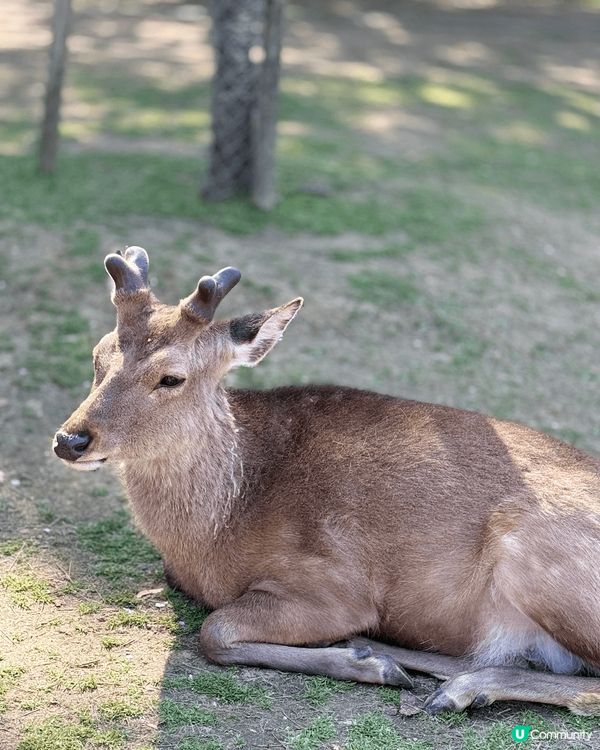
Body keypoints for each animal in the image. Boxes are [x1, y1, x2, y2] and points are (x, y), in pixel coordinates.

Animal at [53, 246, 600, 716]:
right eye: (98, 356)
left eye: (171, 377)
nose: (70, 439)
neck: (215, 531)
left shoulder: (335, 586)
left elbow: (215, 629)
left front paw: (367, 663)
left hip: (533, 554)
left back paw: (452, 686)